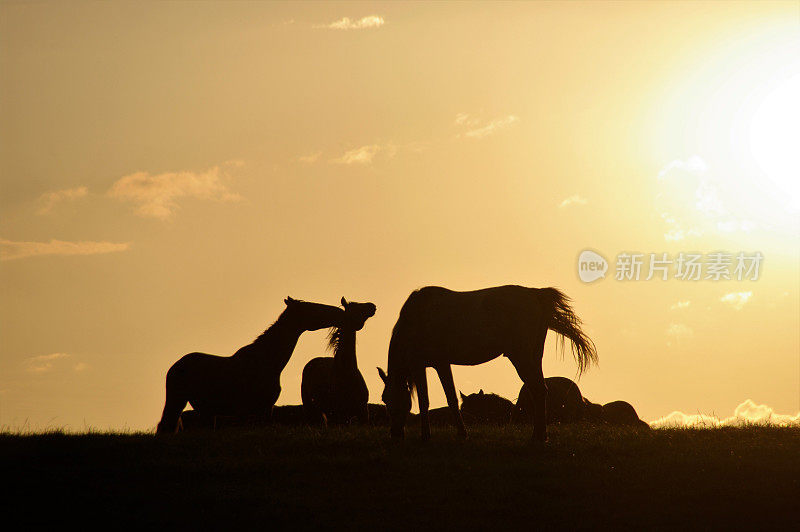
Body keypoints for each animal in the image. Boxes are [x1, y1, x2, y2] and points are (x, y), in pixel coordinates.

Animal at [158, 298, 348, 434]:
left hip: (204, 410)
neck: (268, 362)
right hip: (177, 399)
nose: (339, 313)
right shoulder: (249, 410)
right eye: (312, 307)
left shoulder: (265, 409)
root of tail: (174, 366)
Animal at [378, 284, 596, 442]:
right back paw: (539, 435)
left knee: (537, 389)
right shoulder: (442, 363)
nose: (395, 434)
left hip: (522, 356)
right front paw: (462, 434)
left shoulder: (418, 365)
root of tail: (535, 295)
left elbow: (424, 400)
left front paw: (426, 436)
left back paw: (538, 437)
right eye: (384, 399)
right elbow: (451, 398)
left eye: (391, 399)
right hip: (534, 356)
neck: (414, 320)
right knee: (540, 390)